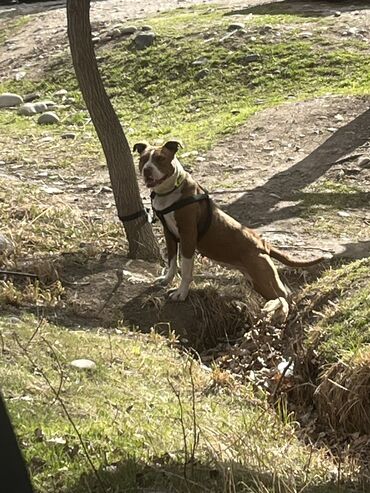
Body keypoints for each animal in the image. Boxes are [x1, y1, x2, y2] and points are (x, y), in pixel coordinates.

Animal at [134, 138, 326, 316]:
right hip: (257, 281)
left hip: (262, 275)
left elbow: (186, 269)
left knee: (284, 294)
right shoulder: (169, 234)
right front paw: (167, 279)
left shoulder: (188, 236)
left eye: (160, 158)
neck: (170, 191)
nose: (147, 169)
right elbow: (172, 261)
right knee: (281, 293)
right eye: (143, 159)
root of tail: (263, 244)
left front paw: (181, 293)